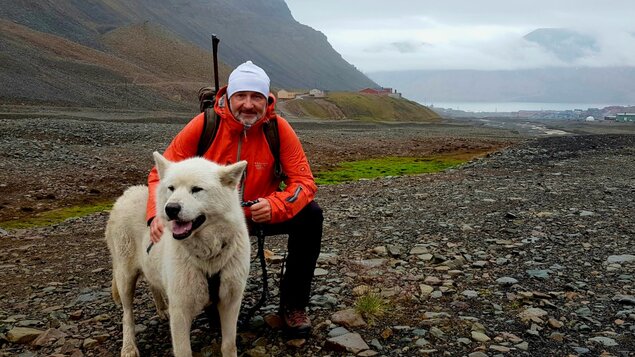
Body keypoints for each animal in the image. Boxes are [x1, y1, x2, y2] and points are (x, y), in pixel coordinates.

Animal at [105, 152, 250, 356]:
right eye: (171, 188)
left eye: (196, 189)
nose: (171, 208)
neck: (208, 254)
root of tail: (127, 193)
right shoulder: (180, 310)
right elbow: (183, 351)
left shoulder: (230, 302)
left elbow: (229, 345)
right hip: (125, 277)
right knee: (127, 314)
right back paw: (129, 347)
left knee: (153, 284)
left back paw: (162, 309)